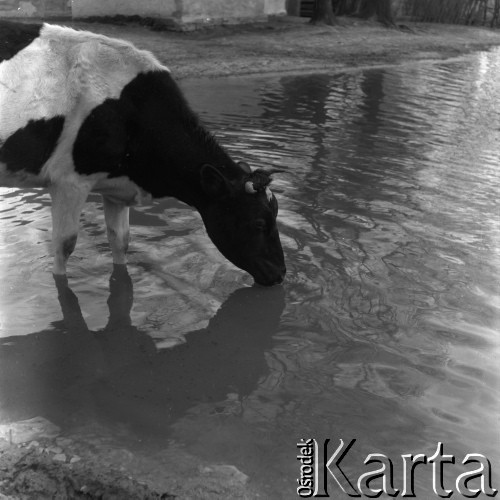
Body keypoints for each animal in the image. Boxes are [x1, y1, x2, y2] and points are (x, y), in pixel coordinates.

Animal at [0, 21, 288, 288]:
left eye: (275, 214)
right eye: (258, 223)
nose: (281, 274)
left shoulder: (115, 188)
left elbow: (121, 241)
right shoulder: (69, 181)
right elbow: (65, 245)